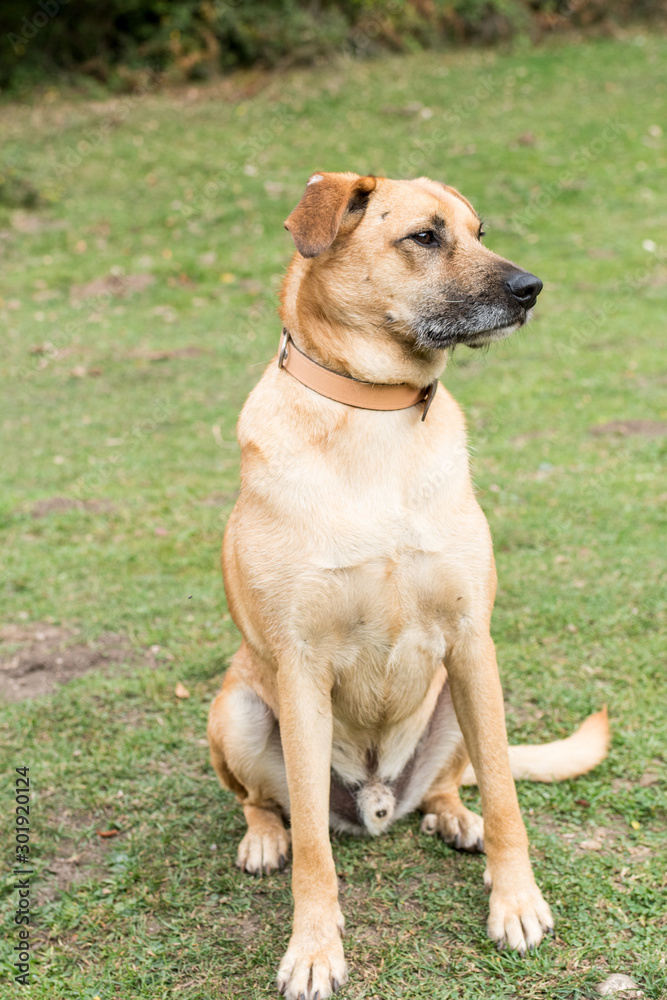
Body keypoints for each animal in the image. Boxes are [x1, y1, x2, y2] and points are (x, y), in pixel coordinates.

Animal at [209, 174, 612, 1000]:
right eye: (424, 237)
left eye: (478, 231)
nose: (531, 289)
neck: (377, 416)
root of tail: (377, 801)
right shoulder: (299, 668)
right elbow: (313, 848)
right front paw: (313, 948)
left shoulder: (470, 641)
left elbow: (505, 797)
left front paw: (514, 902)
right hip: (236, 708)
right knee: (264, 802)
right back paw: (263, 838)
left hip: (461, 698)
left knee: (454, 783)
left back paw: (453, 818)